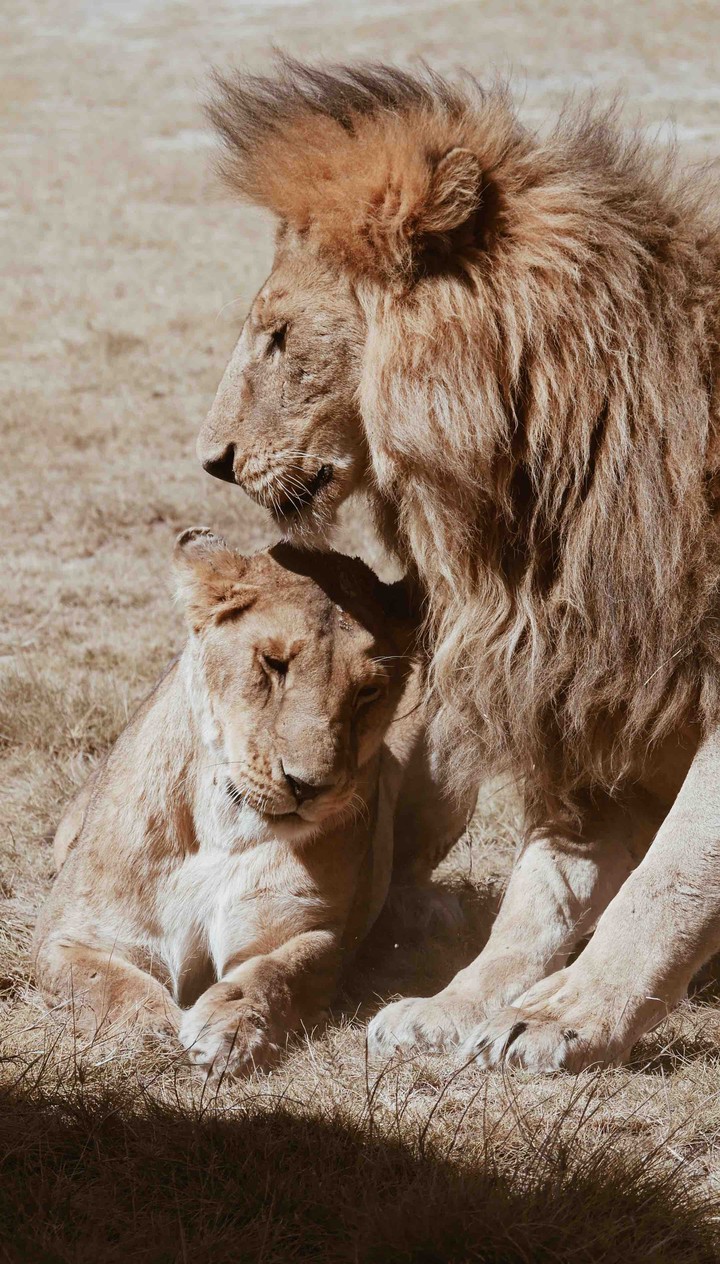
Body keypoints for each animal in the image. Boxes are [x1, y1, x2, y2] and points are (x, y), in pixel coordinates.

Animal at [34, 528, 460, 1077]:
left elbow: (274, 973)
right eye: (273, 663)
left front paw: (230, 1030)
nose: (308, 786)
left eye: (368, 691)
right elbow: (106, 981)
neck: (223, 825)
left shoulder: (313, 930)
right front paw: (149, 1026)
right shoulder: (70, 935)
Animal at [196, 58, 720, 1072]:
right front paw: (459, 1007)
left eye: (279, 336)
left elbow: (670, 877)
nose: (213, 461)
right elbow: (544, 888)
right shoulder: (589, 679)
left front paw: (569, 1016)